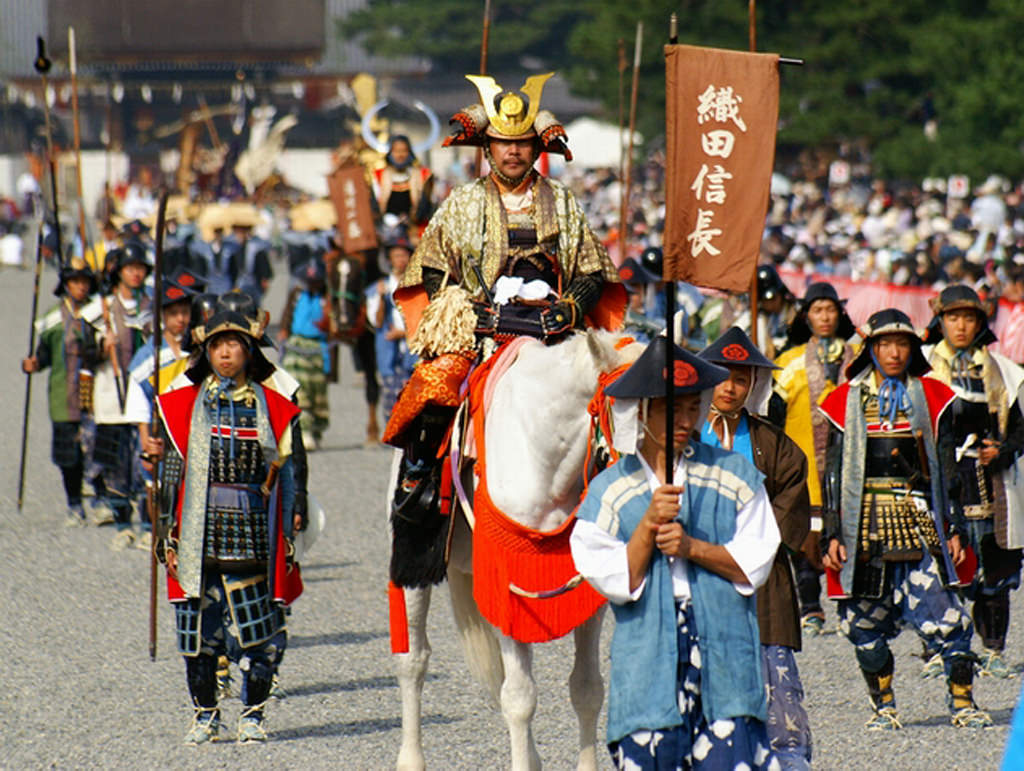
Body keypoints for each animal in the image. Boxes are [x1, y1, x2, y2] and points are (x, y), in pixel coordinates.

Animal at [391, 331, 638, 769]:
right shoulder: (510, 593)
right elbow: (520, 698)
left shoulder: (585, 595)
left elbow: (587, 689)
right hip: (415, 570)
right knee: (413, 662)